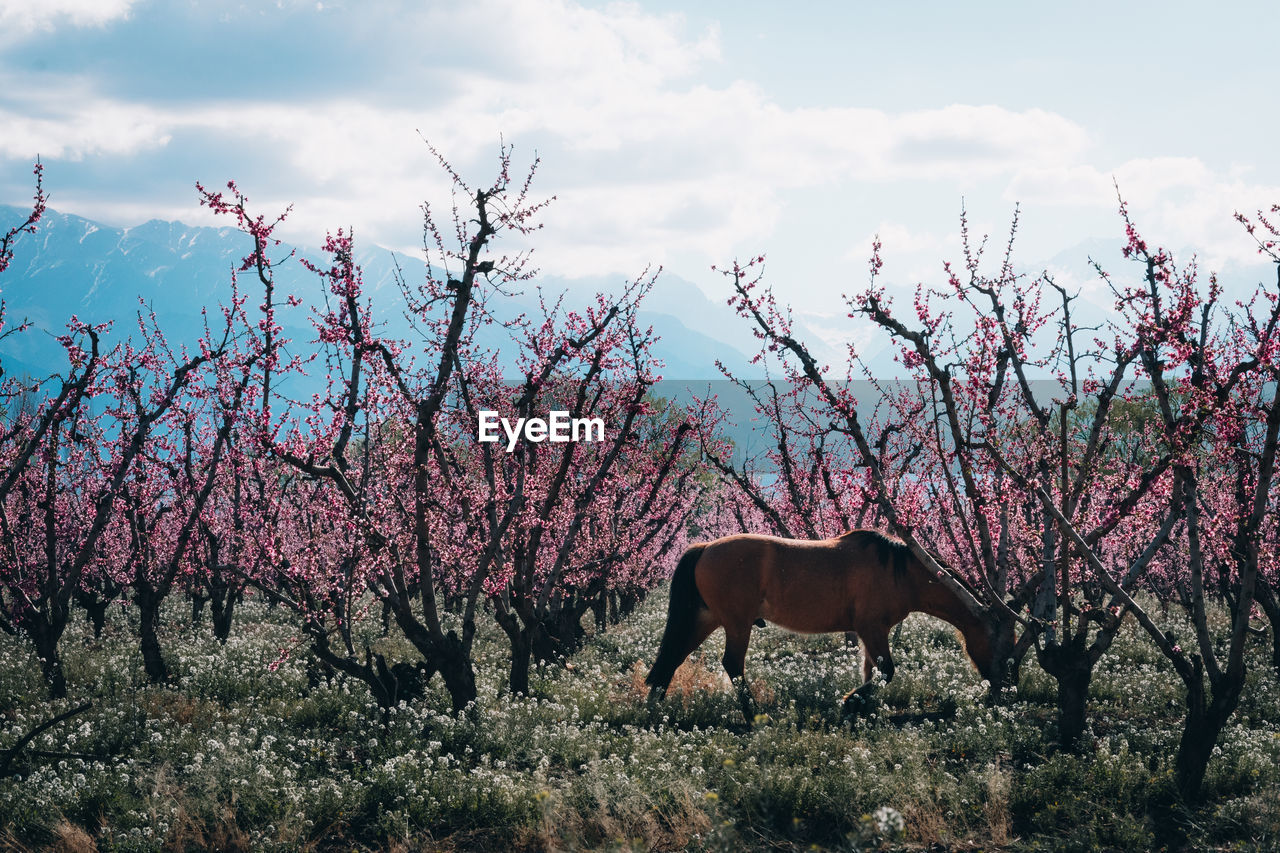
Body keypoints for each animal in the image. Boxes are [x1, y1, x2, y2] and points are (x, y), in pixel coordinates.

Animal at [645, 527, 993, 722]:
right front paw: (851, 703)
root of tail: (704, 548)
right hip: (736, 624)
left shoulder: (870, 632)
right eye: (997, 636)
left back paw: (654, 711)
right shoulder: (872, 627)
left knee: (671, 658)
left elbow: (871, 671)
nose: (999, 685)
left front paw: (862, 708)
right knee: (732, 664)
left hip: (706, 620)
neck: (898, 570)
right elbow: (886, 671)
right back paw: (753, 714)